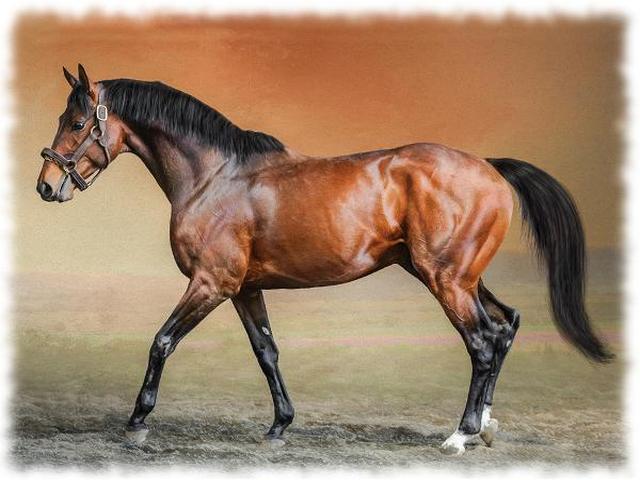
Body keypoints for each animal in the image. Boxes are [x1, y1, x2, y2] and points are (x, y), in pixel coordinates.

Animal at [36, 64, 612, 456]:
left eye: (78, 121)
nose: (45, 185)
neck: (216, 177)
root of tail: (489, 168)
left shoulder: (210, 284)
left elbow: (161, 341)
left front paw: (137, 423)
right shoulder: (244, 289)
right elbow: (267, 353)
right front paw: (279, 426)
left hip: (446, 280)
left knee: (484, 342)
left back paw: (460, 434)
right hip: (464, 277)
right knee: (508, 325)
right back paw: (486, 426)